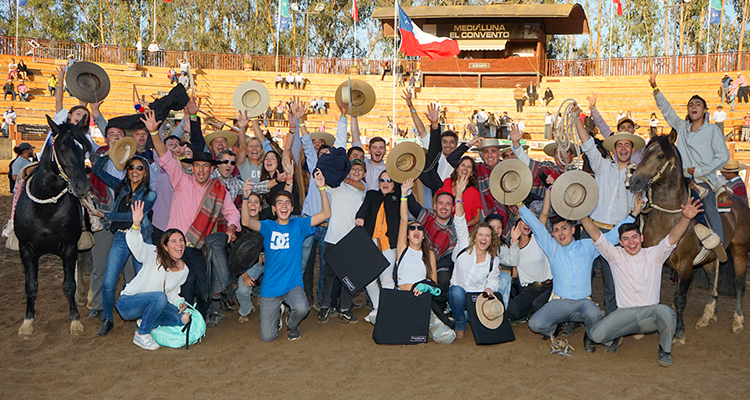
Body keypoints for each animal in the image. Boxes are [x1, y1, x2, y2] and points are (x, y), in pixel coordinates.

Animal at [632, 132, 748, 344]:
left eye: (660, 155)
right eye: (644, 153)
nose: (635, 181)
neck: (670, 218)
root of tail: (741, 203)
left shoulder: (685, 265)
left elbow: (680, 298)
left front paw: (678, 332)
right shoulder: (654, 259)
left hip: (740, 249)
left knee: (738, 284)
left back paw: (737, 321)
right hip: (709, 258)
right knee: (712, 281)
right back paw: (707, 315)